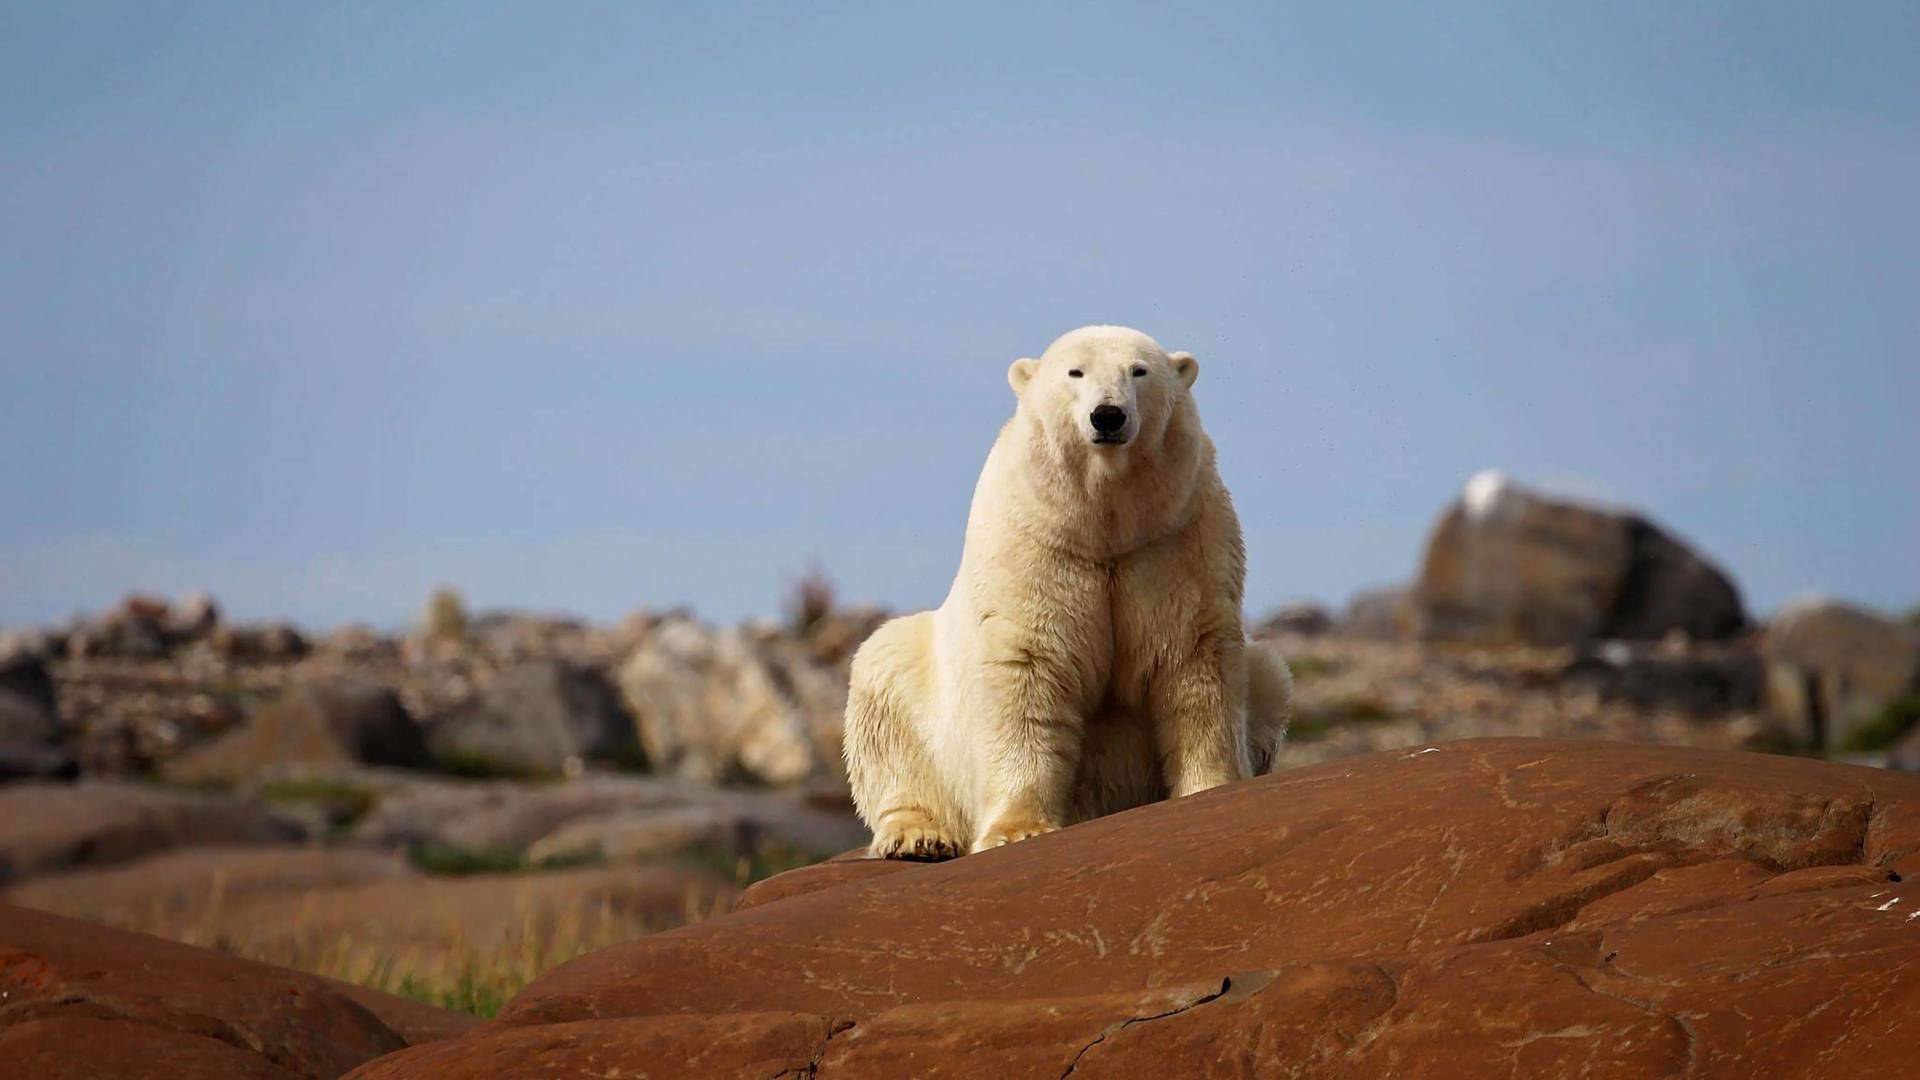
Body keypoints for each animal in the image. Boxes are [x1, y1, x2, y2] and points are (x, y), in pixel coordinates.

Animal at [840, 322, 1290, 853]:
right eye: (1075, 372)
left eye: (1139, 370)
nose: (1108, 415)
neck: (1103, 525)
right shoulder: (1037, 547)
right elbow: (1029, 667)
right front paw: (1016, 831)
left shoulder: (1176, 539)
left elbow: (1191, 657)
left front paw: (1211, 788)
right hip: (913, 701)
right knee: (884, 700)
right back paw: (918, 836)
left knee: (1269, 673)